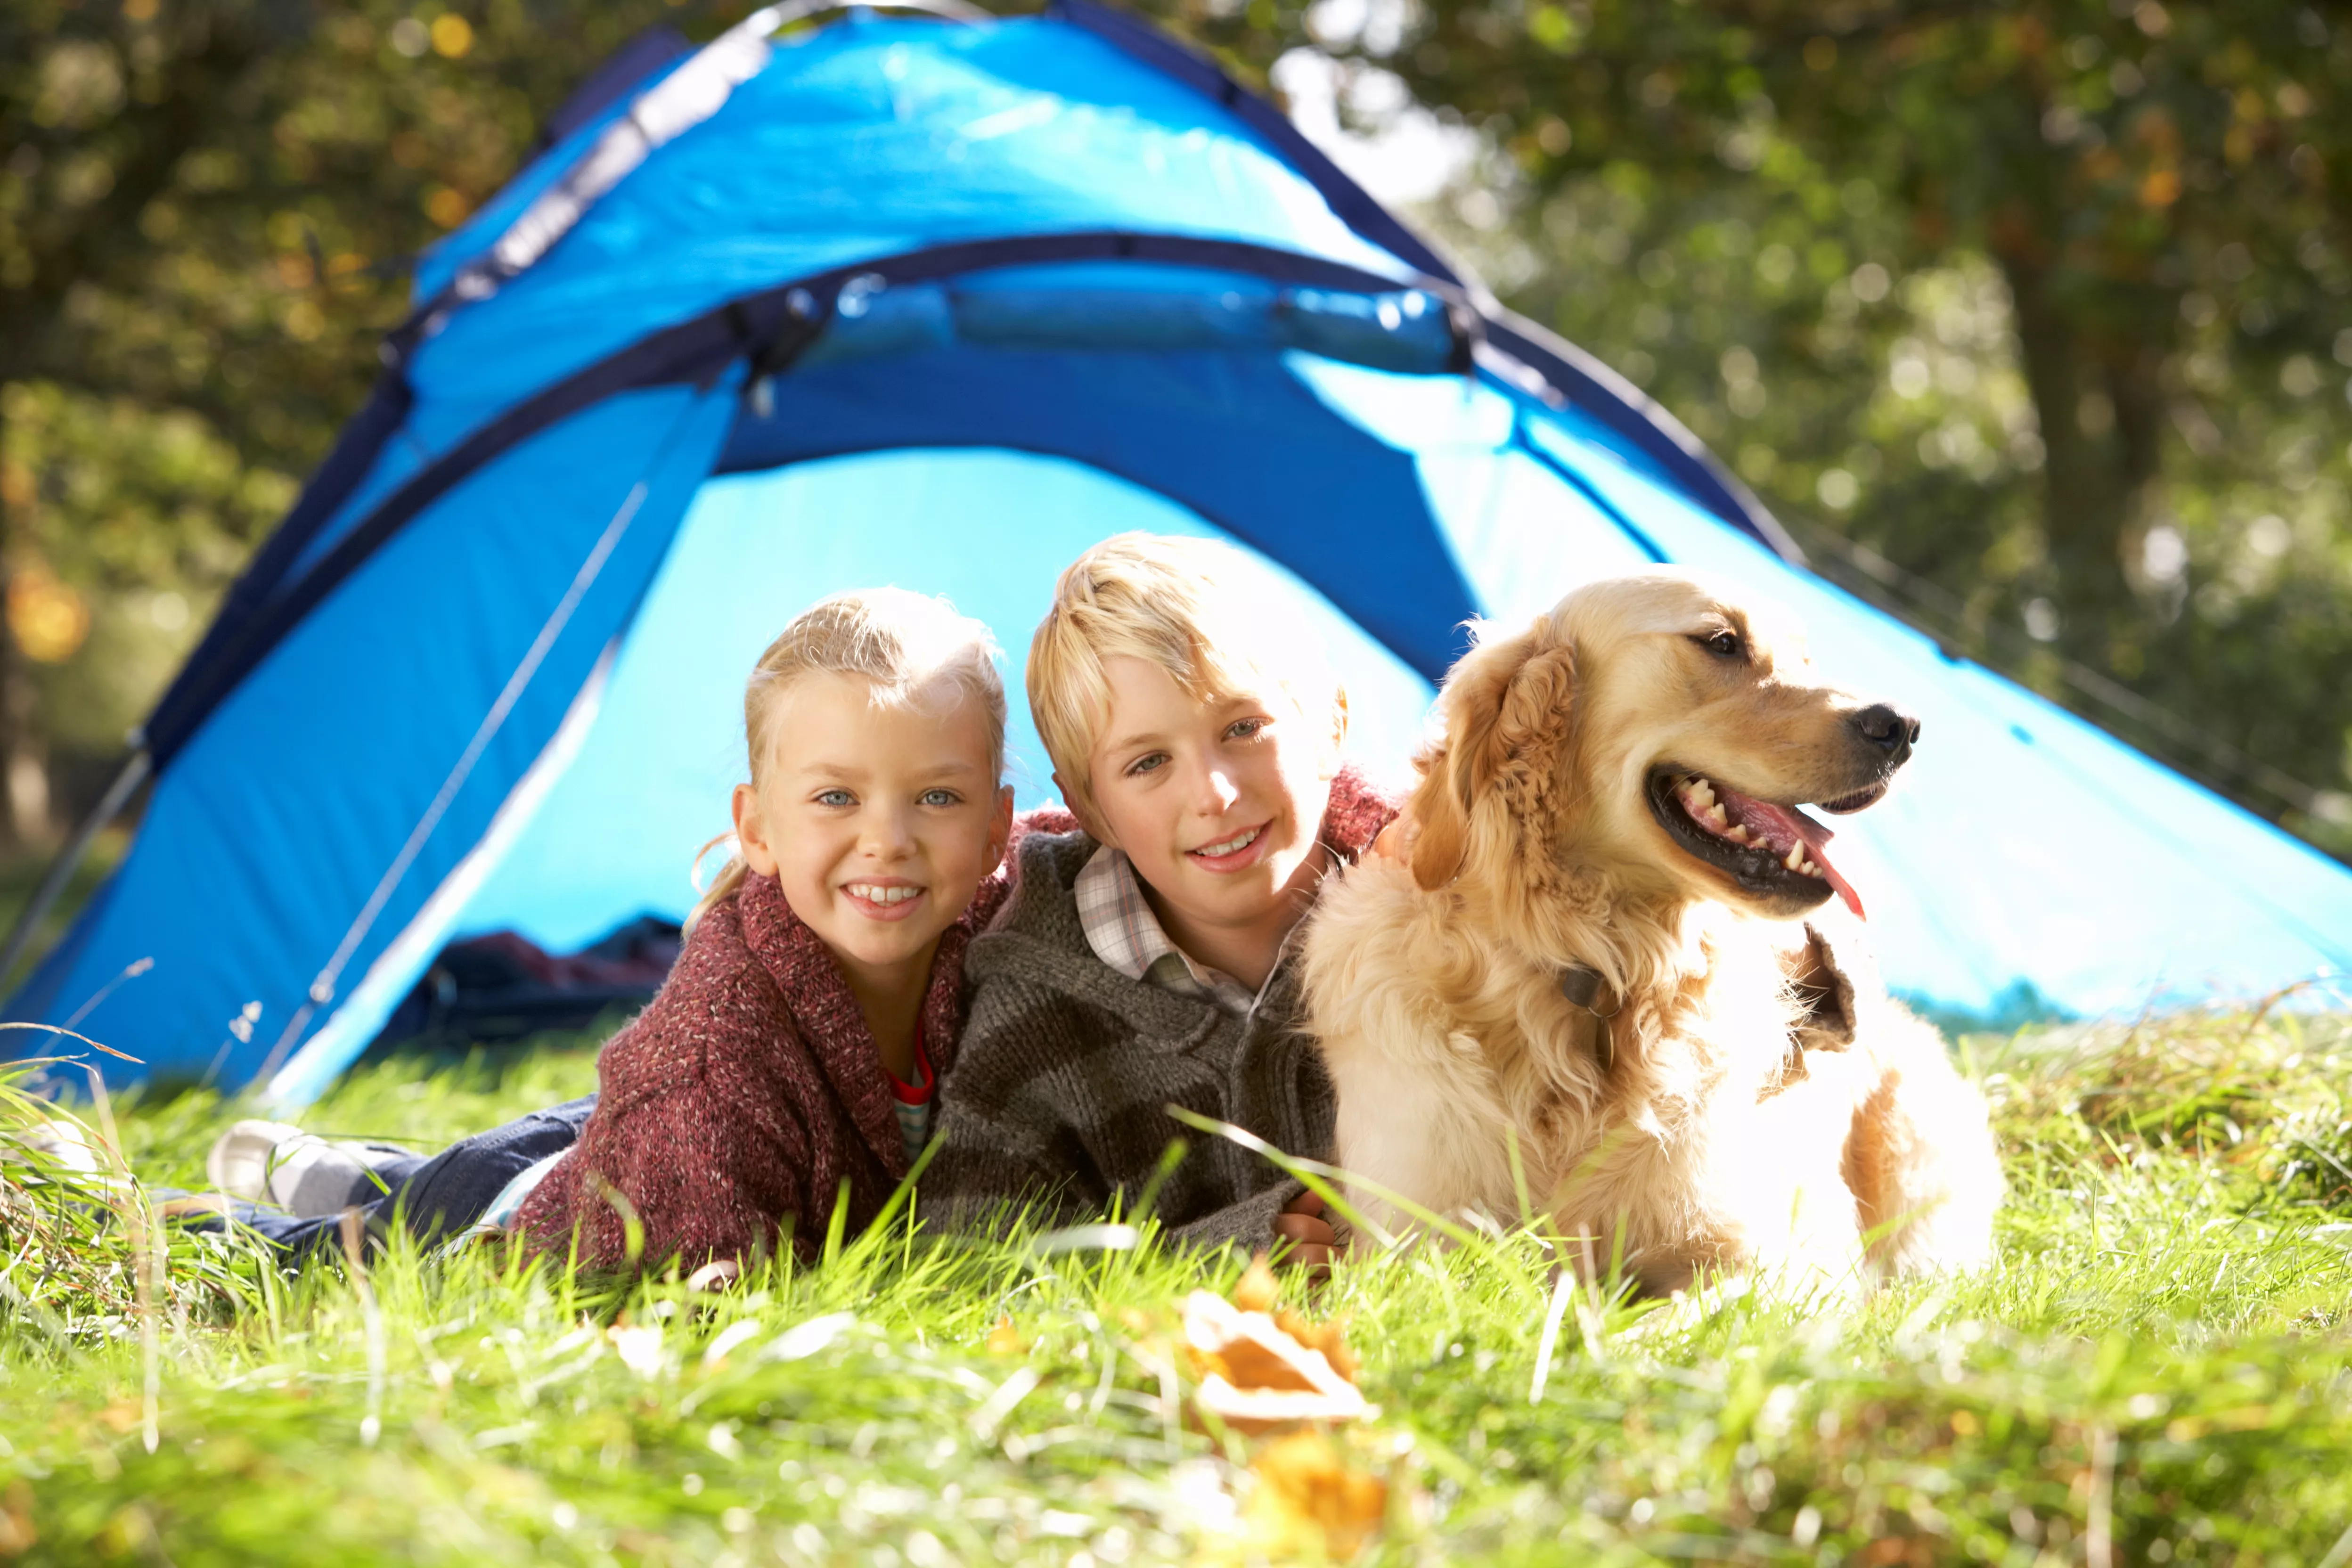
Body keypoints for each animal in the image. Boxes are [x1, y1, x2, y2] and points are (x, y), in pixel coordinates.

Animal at [1307, 571, 2004, 1298]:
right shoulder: (1407, 1246)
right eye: (1722, 642)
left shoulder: (1764, 1264)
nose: (1904, 727)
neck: (1598, 968)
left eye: (1808, 660)